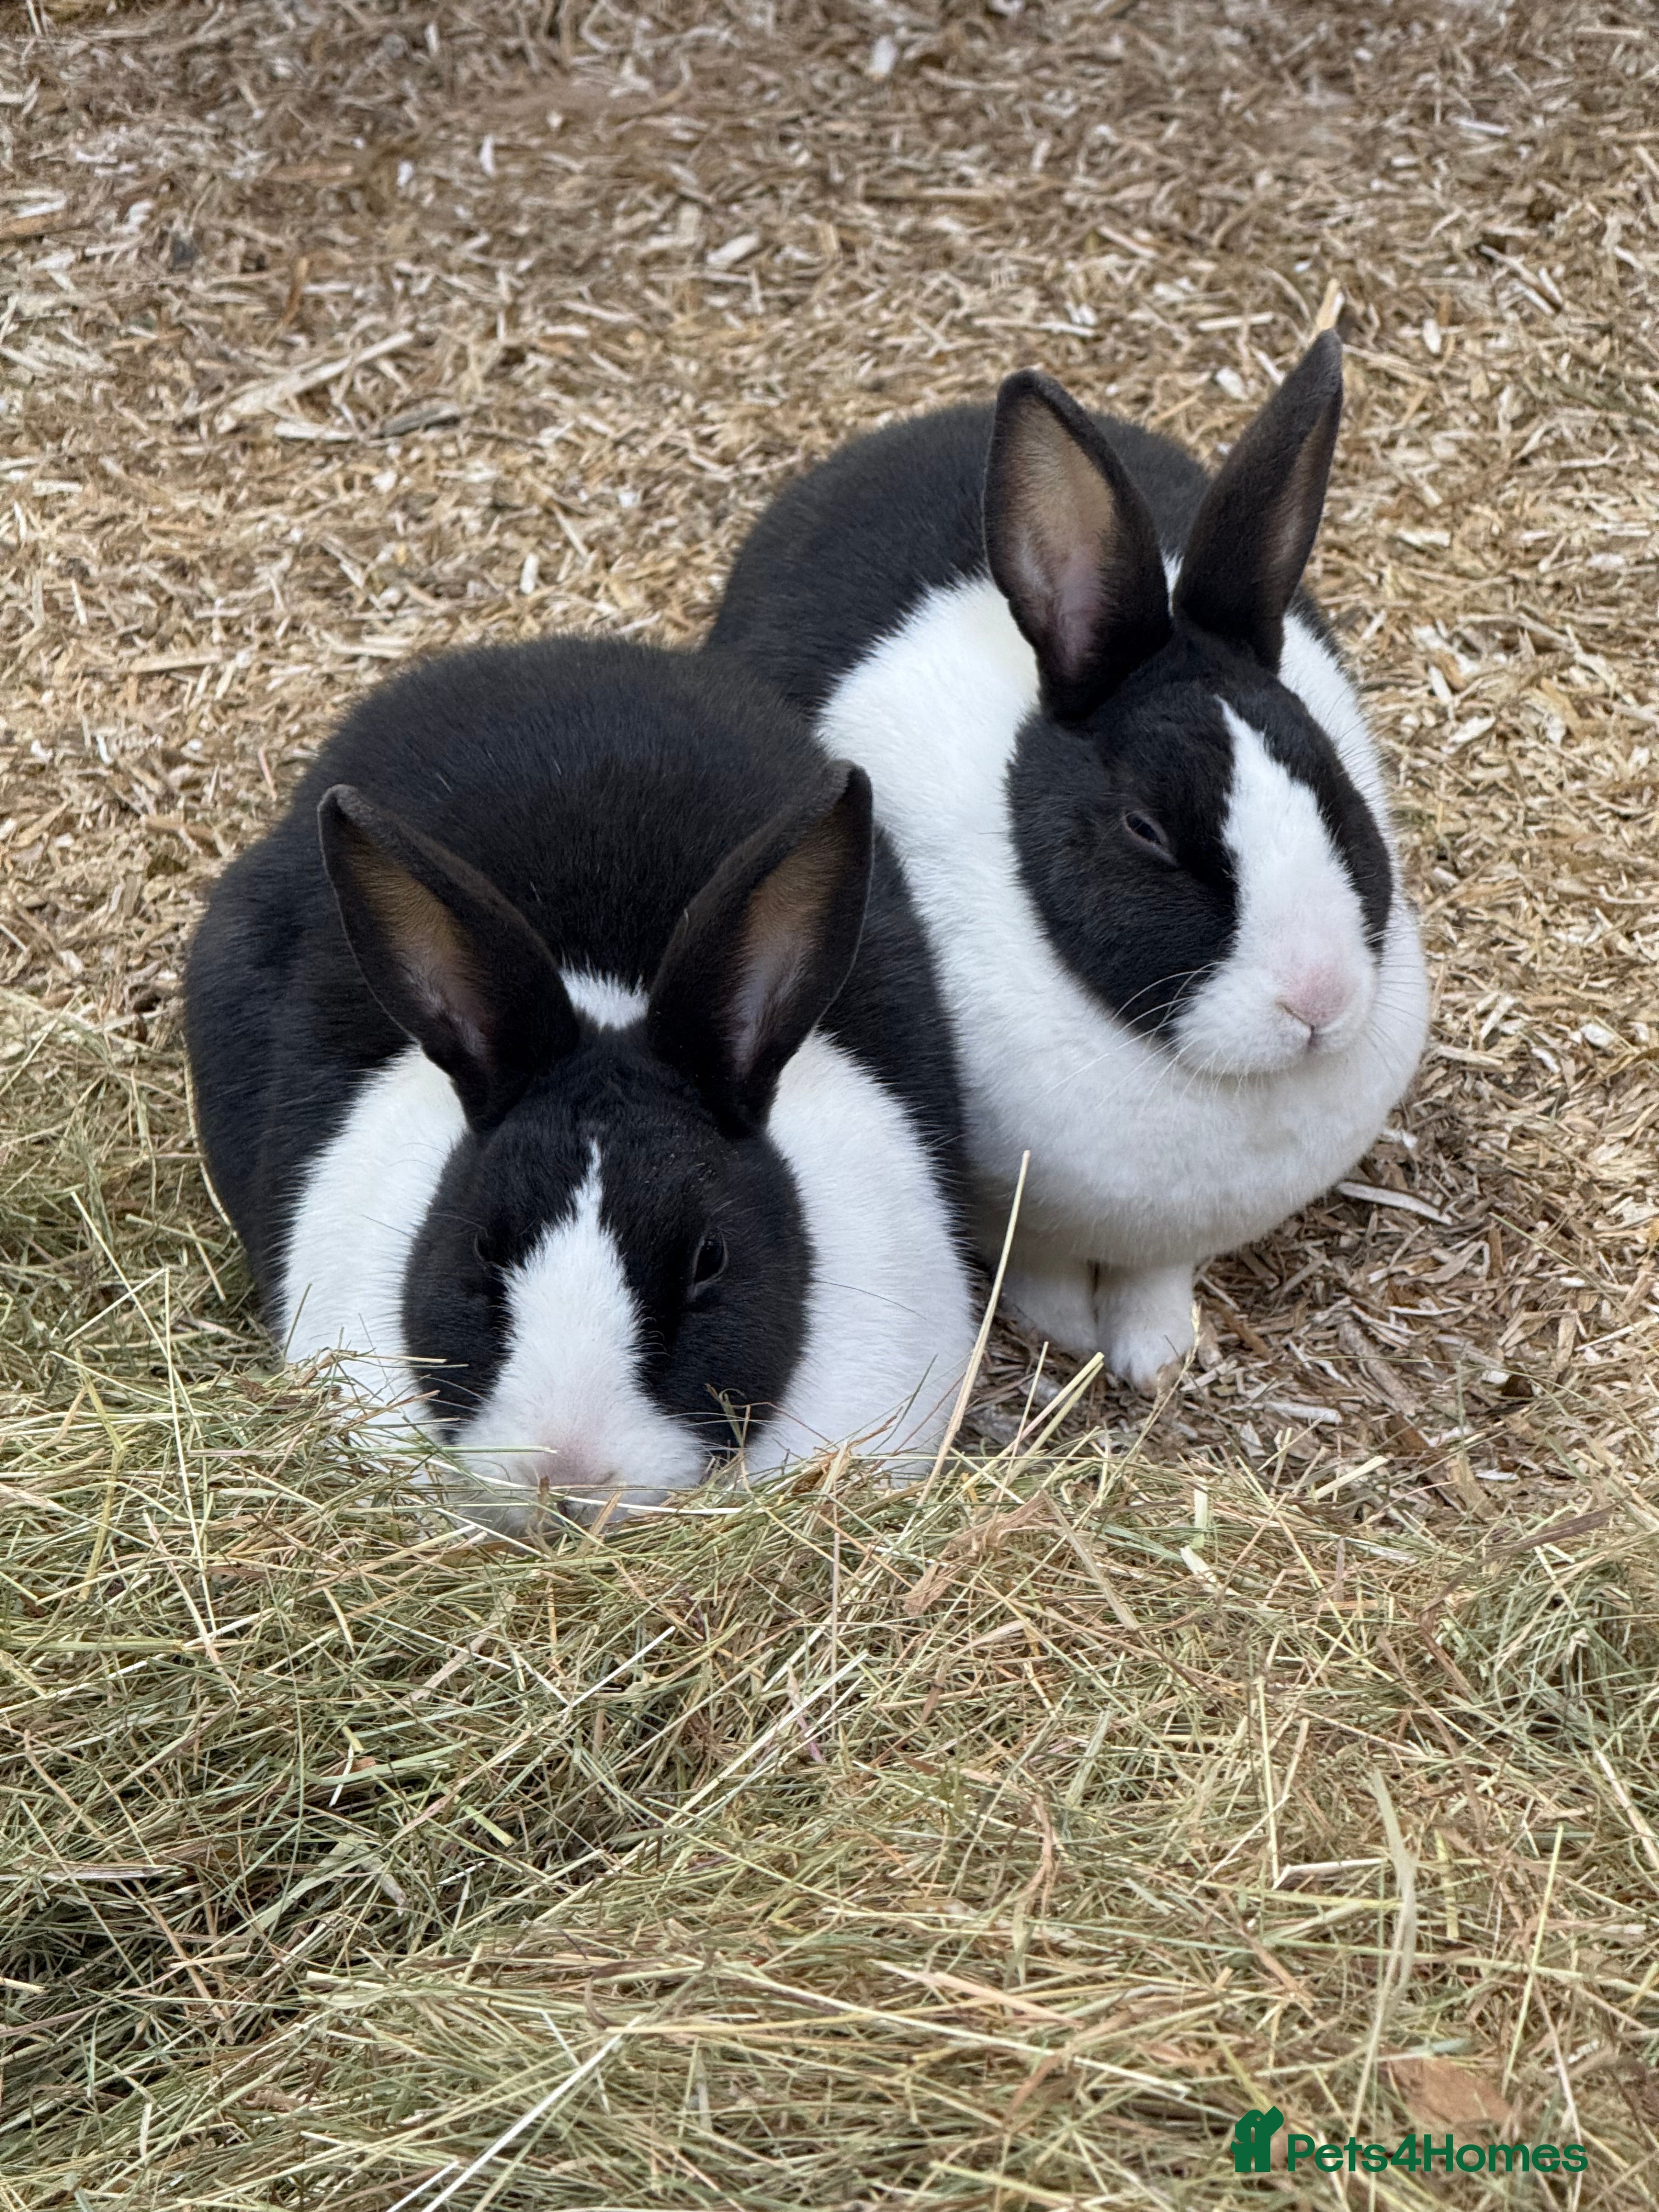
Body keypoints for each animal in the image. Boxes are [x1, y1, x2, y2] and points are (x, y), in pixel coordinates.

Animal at [709, 334, 1429, 1389]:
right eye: (1143, 830)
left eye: (1331, 783)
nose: (1318, 1001)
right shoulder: (1018, 1212)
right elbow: (1041, 1269)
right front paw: (1068, 1339)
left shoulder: (1171, 1238)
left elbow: (1154, 1278)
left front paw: (1156, 1356)